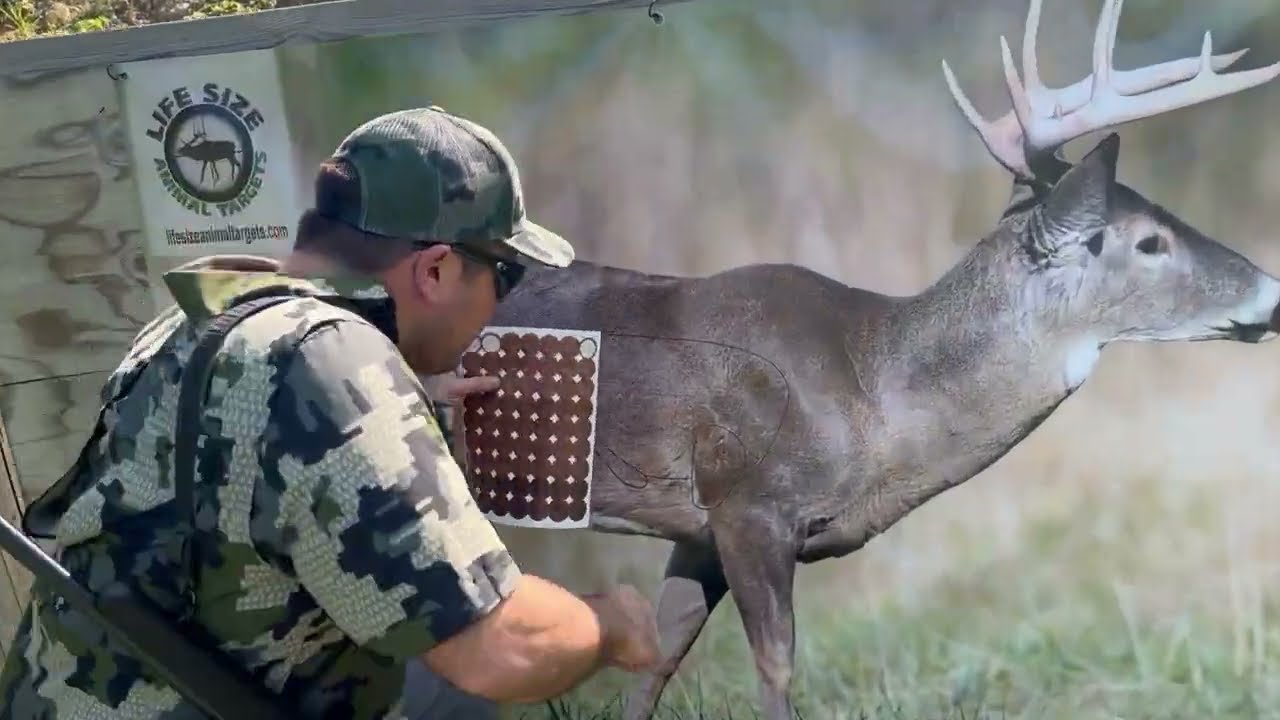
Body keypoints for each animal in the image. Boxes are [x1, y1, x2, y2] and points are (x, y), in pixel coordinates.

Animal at [480, 1, 1280, 717]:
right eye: (1149, 240)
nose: (1272, 293)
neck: (874, 395)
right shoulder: (750, 504)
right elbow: (776, 667)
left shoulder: (698, 528)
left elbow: (658, 658)